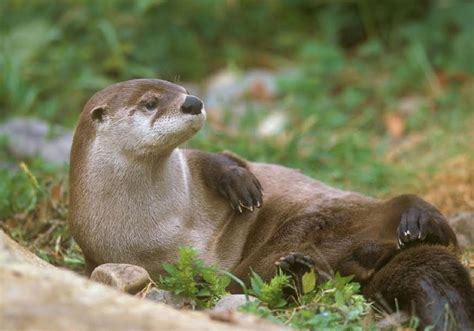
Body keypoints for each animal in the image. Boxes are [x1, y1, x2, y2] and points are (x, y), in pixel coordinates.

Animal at [68, 78, 472, 330]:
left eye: (182, 88)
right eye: (150, 103)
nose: (193, 102)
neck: (166, 220)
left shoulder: (193, 167)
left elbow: (225, 159)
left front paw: (242, 186)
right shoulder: (116, 255)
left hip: (347, 208)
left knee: (404, 205)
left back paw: (419, 221)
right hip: (282, 249)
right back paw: (300, 270)